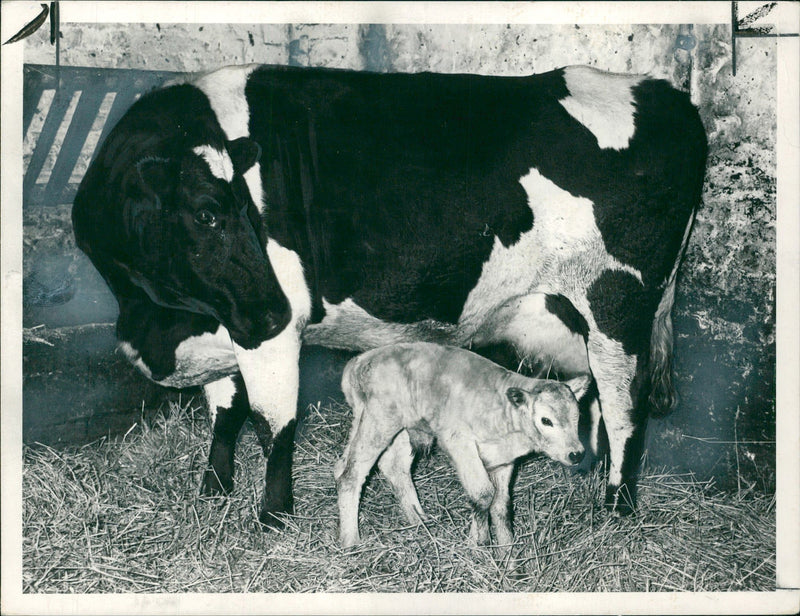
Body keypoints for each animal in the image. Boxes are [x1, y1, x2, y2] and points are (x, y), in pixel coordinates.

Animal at [73, 61, 708, 524]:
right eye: (206, 214)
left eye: (250, 212)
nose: (278, 307)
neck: (157, 318)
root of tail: (662, 92)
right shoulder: (222, 325)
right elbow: (225, 414)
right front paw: (213, 489)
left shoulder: (262, 334)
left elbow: (271, 424)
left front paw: (273, 516)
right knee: (595, 396)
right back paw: (591, 472)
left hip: (617, 304)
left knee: (626, 405)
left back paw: (617, 507)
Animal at [334, 342, 592, 548]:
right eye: (546, 420)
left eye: (578, 416)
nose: (576, 454)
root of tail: (361, 360)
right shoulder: (459, 441)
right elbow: (482, 494)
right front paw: (478, 544)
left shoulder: (503, 461)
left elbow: (501, 506)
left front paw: (507, 554)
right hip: (380, 419)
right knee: (352, 473)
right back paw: (351, 542)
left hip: (394, 426)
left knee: (382, 466)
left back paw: (418, 519)